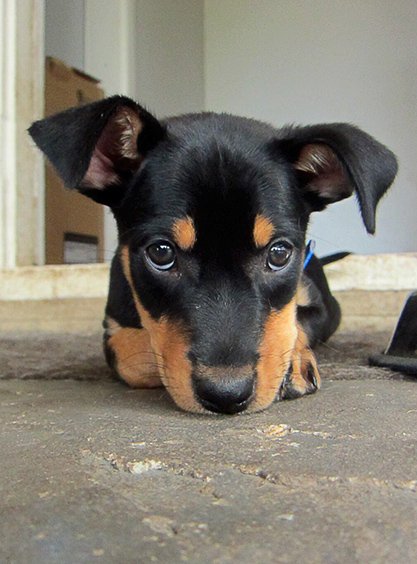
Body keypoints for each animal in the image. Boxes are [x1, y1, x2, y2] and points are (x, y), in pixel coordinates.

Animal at [29, 97, 396, 414]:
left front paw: (291, 361)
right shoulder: (113, 326)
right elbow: (138, 356)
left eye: (279, 254)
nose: (227, 395)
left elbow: (294, 320)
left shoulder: (323, 308)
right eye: (161, 253)